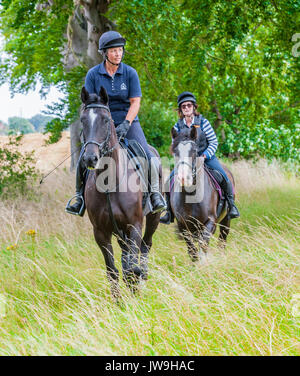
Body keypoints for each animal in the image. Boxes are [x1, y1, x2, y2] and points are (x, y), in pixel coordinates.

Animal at [78, 86, 161, 298]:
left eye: (106, 120)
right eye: (83, 120)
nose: (90, 158)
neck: (110, 183)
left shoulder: (134, 225)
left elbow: (131, 268)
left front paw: (135, 295)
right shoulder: (101, 232)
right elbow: (112, 271)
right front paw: (119, 302)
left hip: (153, 219)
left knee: (145, 247)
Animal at [170, 126, 236, 262]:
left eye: (194, 151)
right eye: (175, 152)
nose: (184, 178)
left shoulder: (209, 222)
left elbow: (203, 246)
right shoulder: (183, 225)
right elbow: (192, 252)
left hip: (226, 220)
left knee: (222, 241)